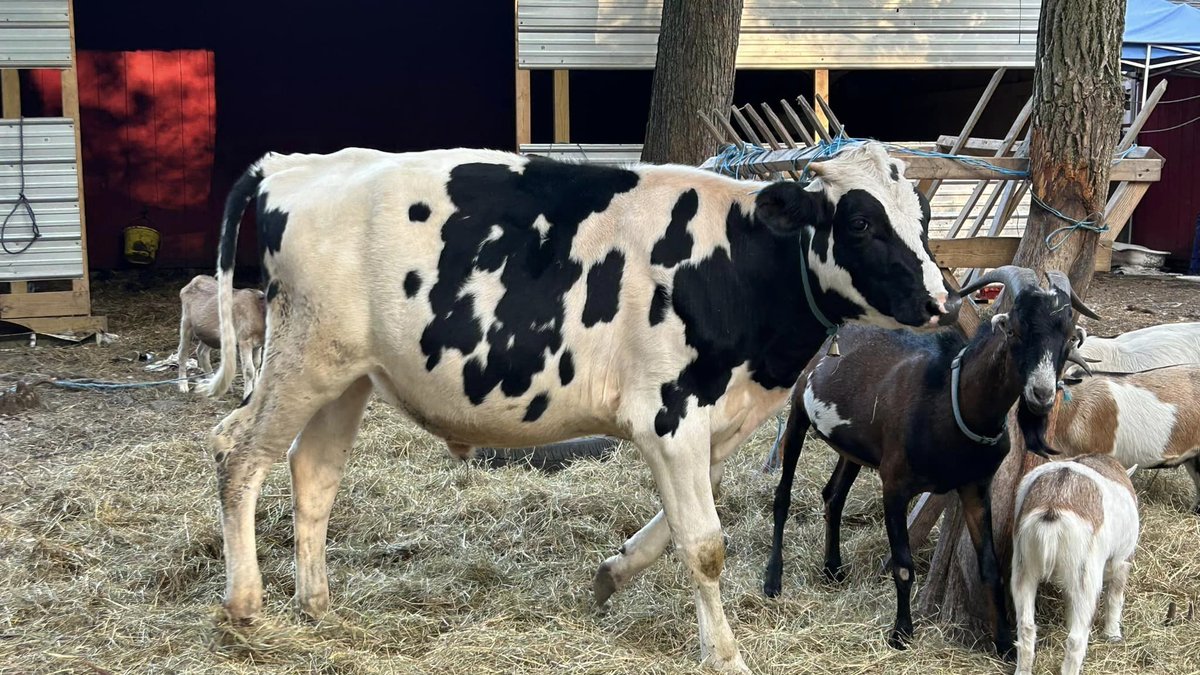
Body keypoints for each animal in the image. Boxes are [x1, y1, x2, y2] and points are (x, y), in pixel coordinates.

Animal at [201, 142, 957, 672]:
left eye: (921, 216)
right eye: (859, 221)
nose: (938, 299)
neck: (736, 265)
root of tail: (294, 165)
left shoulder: (707, 426)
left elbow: (670, 531)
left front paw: (609, 575)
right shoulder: (670, 414)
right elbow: (704, 543)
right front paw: (727, 655)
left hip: (349, 374)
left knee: (313, 475)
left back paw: (319, 609)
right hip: (303, 357)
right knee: (237, 451)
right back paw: (246, 608)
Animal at [764, 266, 1098, 656]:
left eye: (1068, 338)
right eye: (1014, 330)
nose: (1041, 395)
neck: (950, 401)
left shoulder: (974, 487)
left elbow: (989, 566)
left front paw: (1004, 642)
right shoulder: (894, 484)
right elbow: (904, 565)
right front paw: (901, 633)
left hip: (854, 448)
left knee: (833, 495)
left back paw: (833, 569)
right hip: (798, 414)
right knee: (783, 496)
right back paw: (773, 580)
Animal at [1011, 454, 1139, 675]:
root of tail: (1052, 506)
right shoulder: (1122, 561)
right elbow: (1114, 598)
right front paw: (1113, 635)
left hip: (1023, 566)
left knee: (1026, 627)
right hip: (1086, 575)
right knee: (1076, 639)